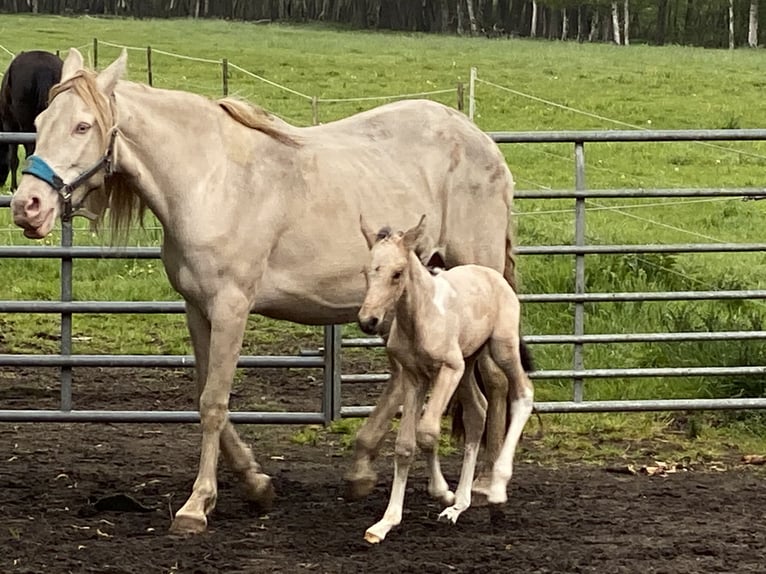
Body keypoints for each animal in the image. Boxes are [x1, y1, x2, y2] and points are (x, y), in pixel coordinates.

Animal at [10, 48, 520, 536]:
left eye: (82, 125)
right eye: (39, 122)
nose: (26, 207)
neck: (210, 180)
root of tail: (485, 144)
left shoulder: (232, 307)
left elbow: (214, 402)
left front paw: (196, 506)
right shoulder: (198, 309)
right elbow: (205, 395)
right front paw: (255, 484)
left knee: (491, 385)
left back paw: (480, 485)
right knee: (409, 379)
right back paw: (371, 471)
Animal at [358, 215, 536, 544]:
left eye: (397, 274)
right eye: (367, 271)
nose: (368, 321)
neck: (421, 316)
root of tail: (493, 275)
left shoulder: (448, 369)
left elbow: (427, 432)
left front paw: (442, 493)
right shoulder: (415, 376)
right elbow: (405, 445)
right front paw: (385, 523)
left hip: (500, 349)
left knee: (523, 393)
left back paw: (495, 493)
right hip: (469, 364)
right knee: (478, 412)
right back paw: (459, 507)